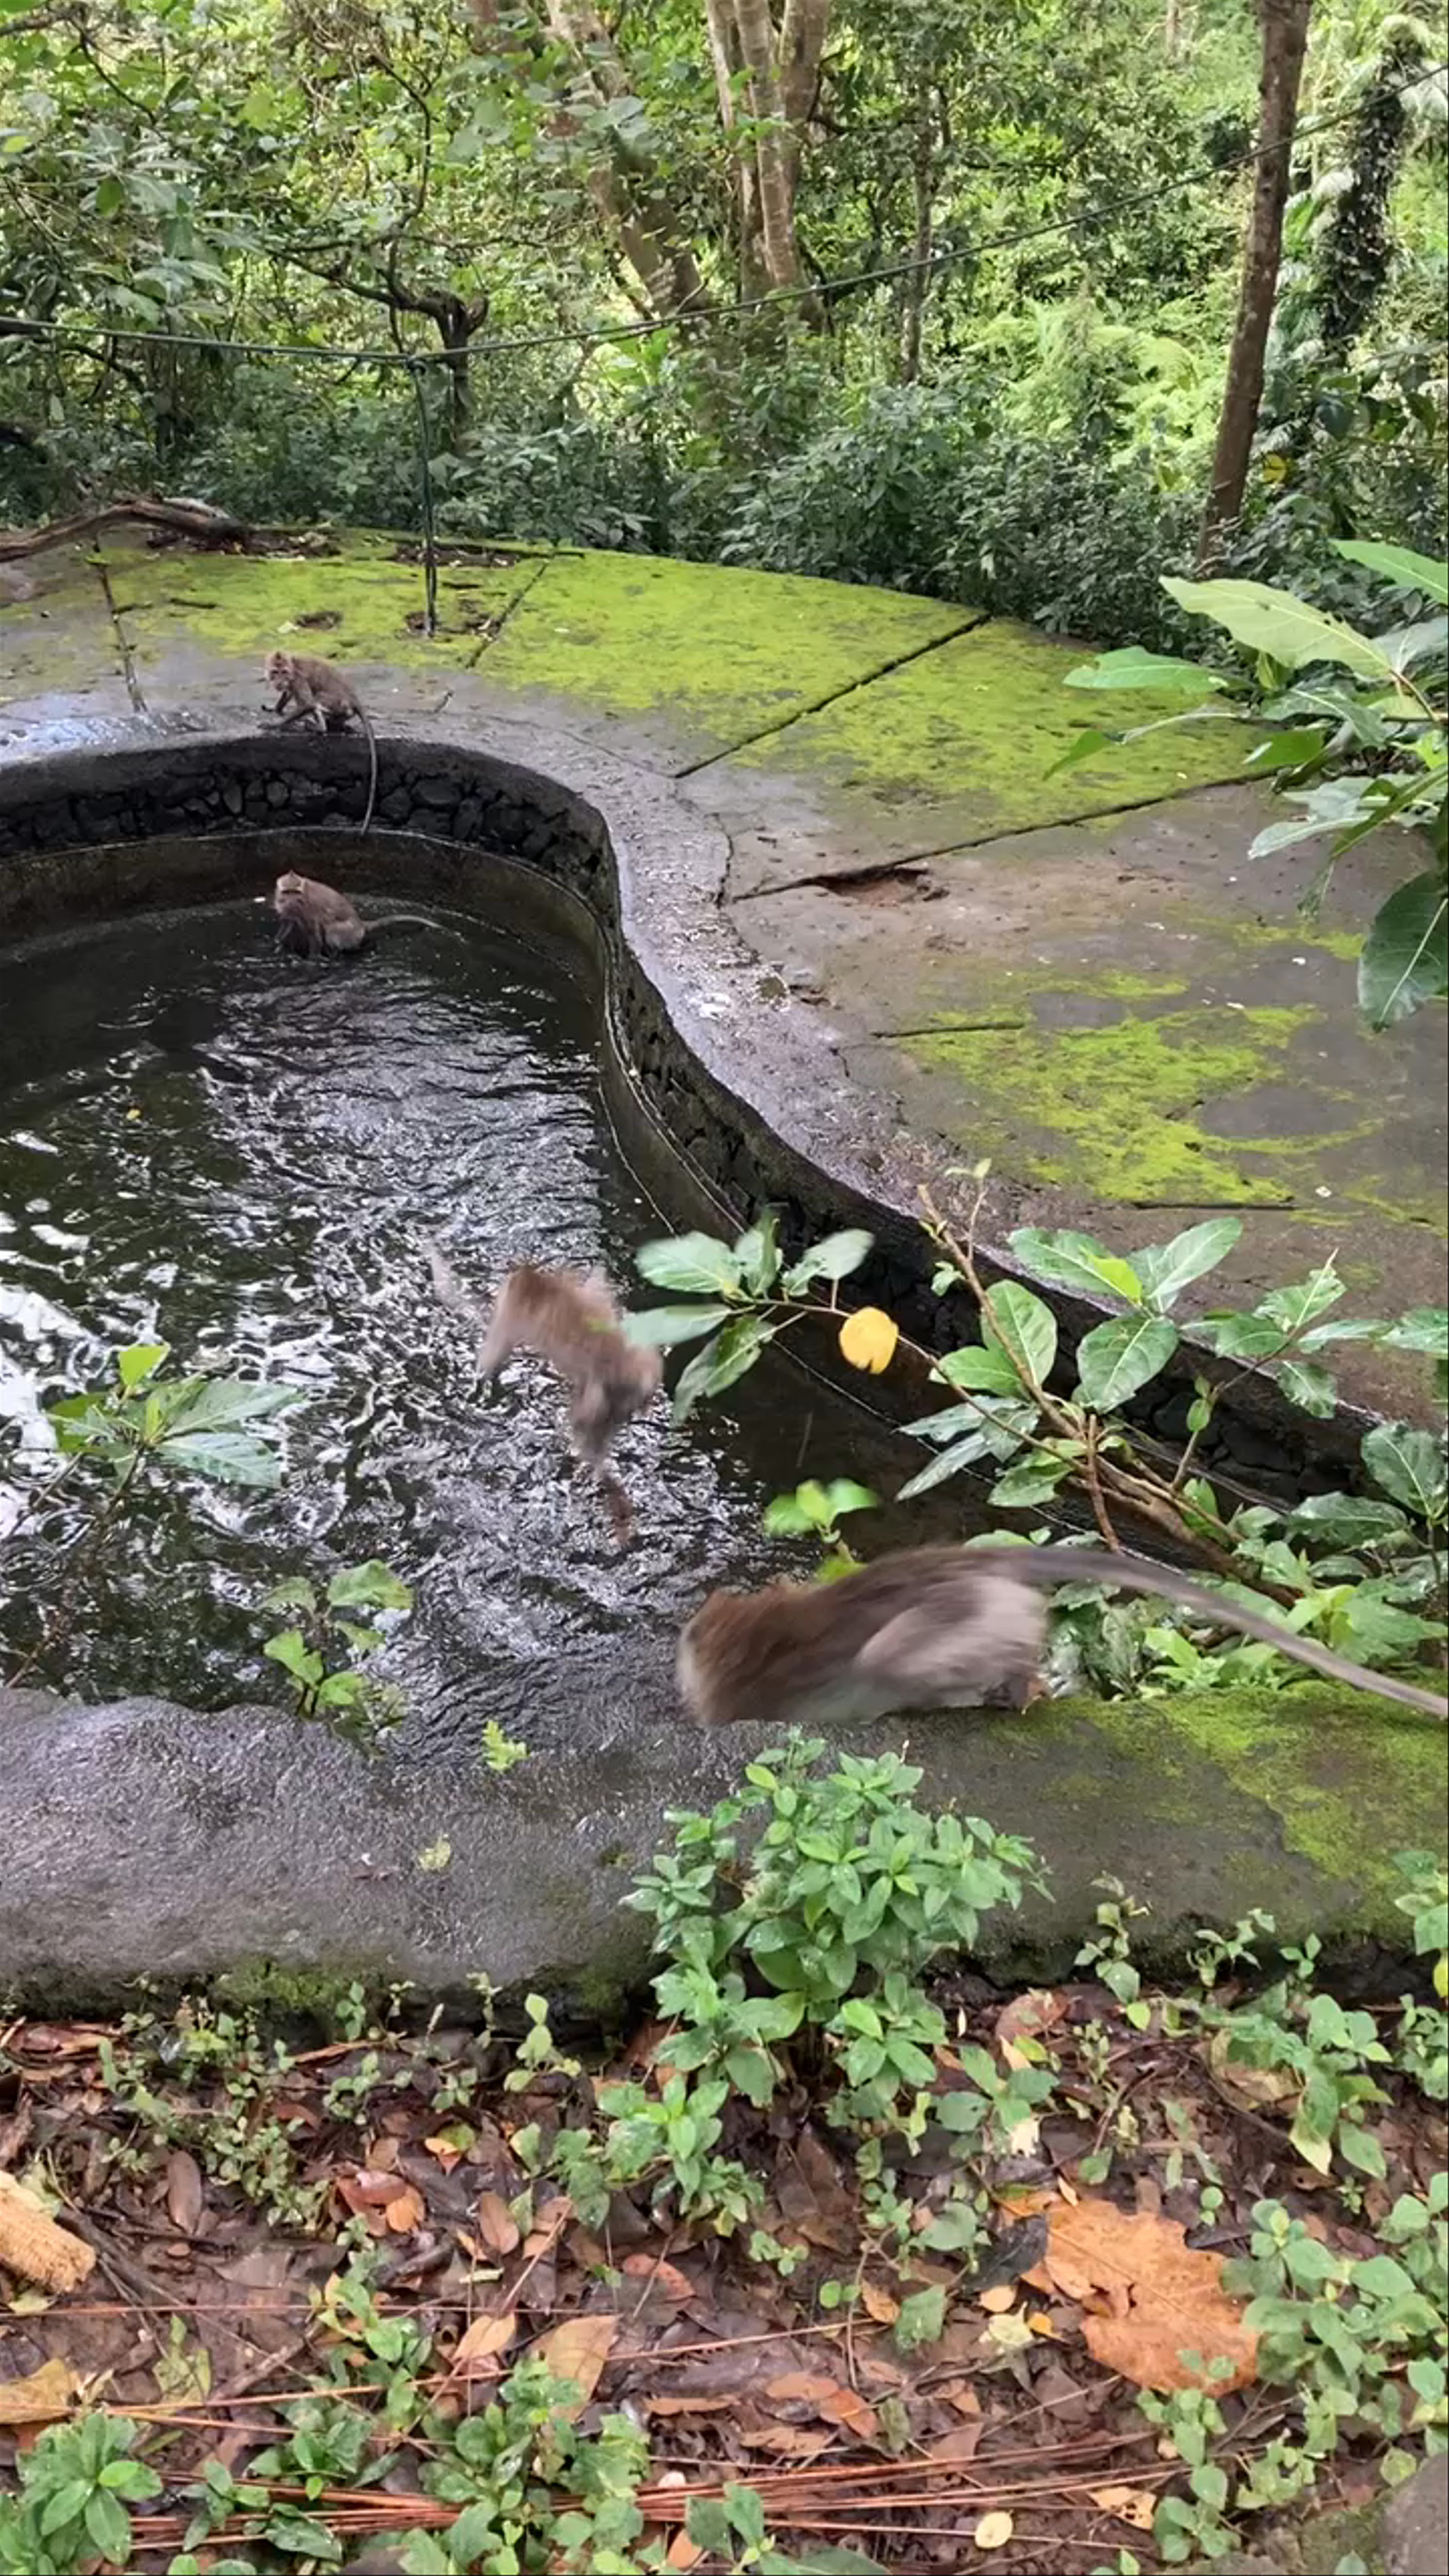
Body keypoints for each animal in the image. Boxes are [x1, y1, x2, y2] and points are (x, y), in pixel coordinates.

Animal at [264, 648, 378, 831]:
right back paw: (339, 727)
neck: (293, 666)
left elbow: (306, 704)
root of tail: (354, 699)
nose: (280, 682)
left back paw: (319, 728)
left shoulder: (298, 680)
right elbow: (288, 694)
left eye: (284, 672)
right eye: (275, 672)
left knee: (316, 700)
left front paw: (275, 725)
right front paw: (276, 709)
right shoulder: (291, 684)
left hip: (338, 704)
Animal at [265, 870, 443, 959]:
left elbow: (315, 935)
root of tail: (360, 924)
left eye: (295, 892)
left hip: (349, 931)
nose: (291, 901)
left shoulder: (308, 911)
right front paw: (277, 942)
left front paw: (312, 960)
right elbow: (287, 924)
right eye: (287, 892)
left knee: (332, 931)